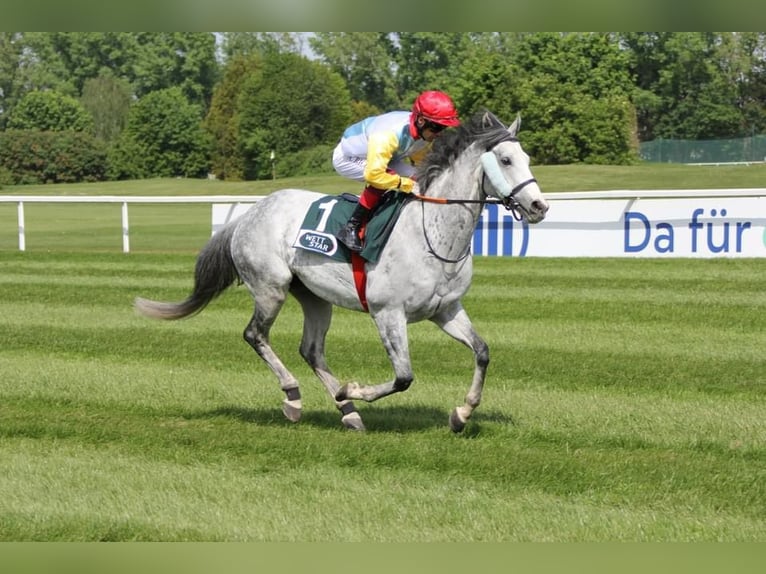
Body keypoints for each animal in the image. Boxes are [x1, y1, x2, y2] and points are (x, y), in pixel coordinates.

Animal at [135, 110, 548, 434]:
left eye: (526, 156)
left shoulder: (445, 310)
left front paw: (461, 414)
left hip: (314, 296)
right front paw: (353, 390)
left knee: (311, 350)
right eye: (506, 160)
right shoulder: (388, 313)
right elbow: (403, 377)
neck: (432, 232)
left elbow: (482, 352)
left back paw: (348, 413)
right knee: (255, 335)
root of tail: (250, 213)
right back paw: (295, 398)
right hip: (271, 286)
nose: (539, 206)